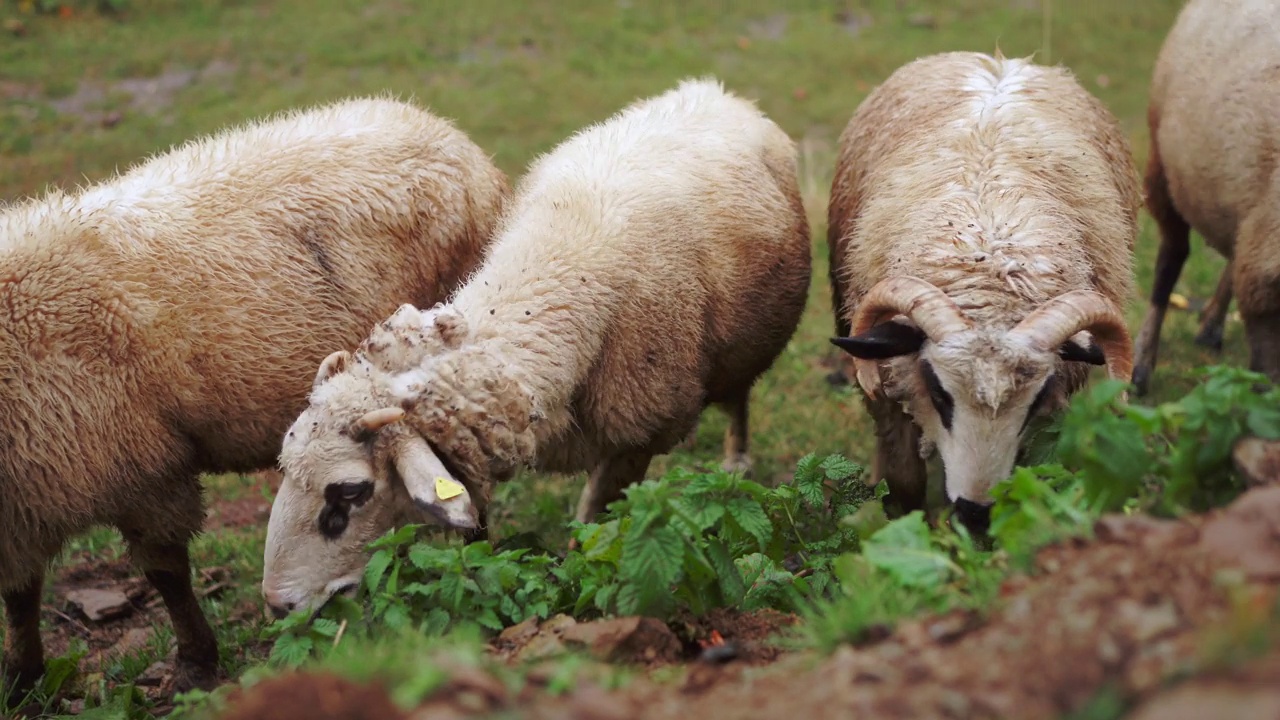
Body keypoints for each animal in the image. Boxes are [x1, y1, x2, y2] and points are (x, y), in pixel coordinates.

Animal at [0, 96, 509, 696]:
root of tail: (441, 129)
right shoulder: (27, 505)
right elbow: (20, 594)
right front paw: (23, 677)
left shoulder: (143, 472)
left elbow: (165, 572)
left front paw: (195, 664)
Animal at [262, 77, 808, 617]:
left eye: (351, 492)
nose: (277, 604)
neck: (565, 264)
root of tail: (714, 89)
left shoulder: (639, 437)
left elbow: (596, 525)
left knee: (738, 400)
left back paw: (736, 464)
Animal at [829, 50, 1141, 530]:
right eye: (939, 394)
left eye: (1033, 403)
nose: (975, 511)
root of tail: (999, 59)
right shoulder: (886, 387)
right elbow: (904, 483)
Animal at [1131, 0, 1280, 394]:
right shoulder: (1264, 274)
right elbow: (1267, 378)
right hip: (1163, 170)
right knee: (1170, 261)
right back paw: (1141, 367)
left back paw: (1210, 325)